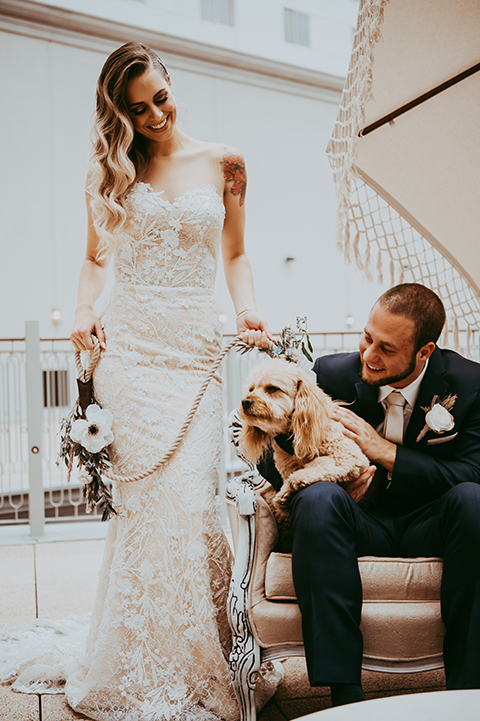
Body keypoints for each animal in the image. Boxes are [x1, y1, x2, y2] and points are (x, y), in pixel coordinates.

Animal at [238, 358, 370, 524]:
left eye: (272, 389)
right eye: (251, 389)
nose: (245, 402)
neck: (292, 434)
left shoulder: (349, 457)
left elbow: (316, 465)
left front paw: (288, 490)